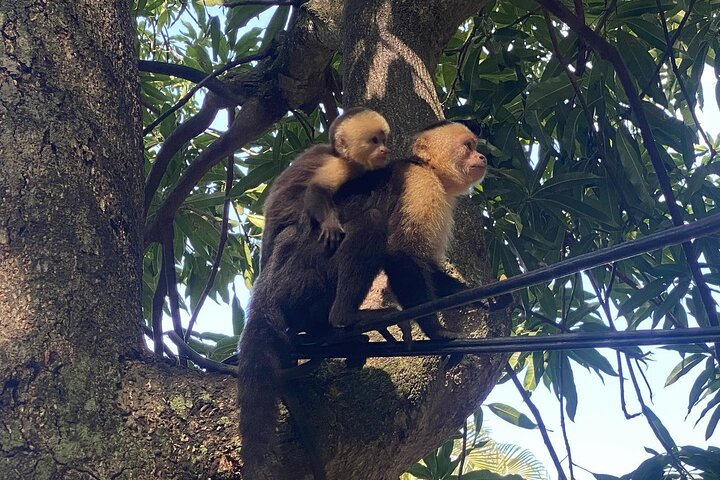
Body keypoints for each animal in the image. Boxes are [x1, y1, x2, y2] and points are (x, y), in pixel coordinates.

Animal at [260, 107, 390, 269]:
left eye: (383, 140)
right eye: (374, 140)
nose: (385, 150)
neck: (342, 157)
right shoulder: (339, 166)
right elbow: (317, 189)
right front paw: (330, 224)